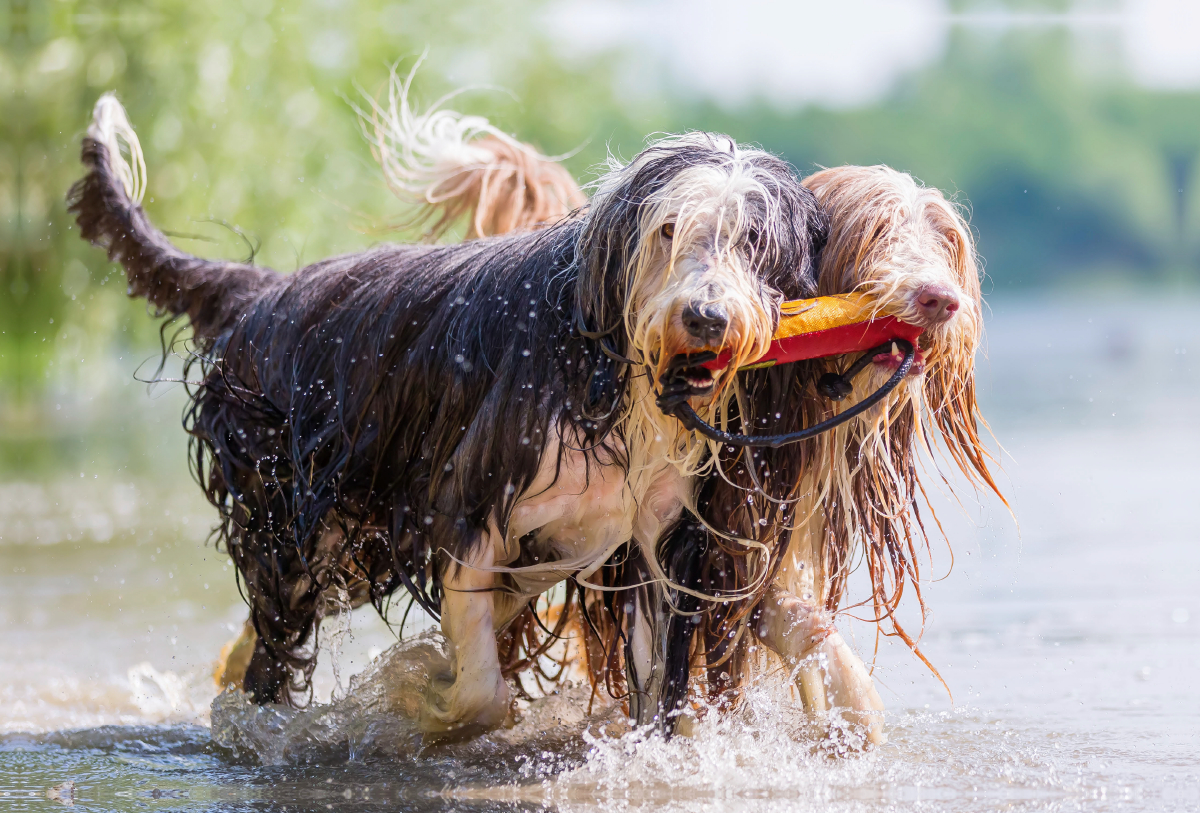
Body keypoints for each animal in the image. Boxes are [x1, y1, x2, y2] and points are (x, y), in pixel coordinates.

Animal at [72, 94, 825, 738]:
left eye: (753, 240)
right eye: (669, 229)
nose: (704, 317)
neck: (615, 374)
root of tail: (262, 293)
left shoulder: (656, 540)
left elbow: (657, 683)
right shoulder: (466, 504)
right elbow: (480, 686)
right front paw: (425, 696)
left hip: (355, 546)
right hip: (297, 524)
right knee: (276, 642)